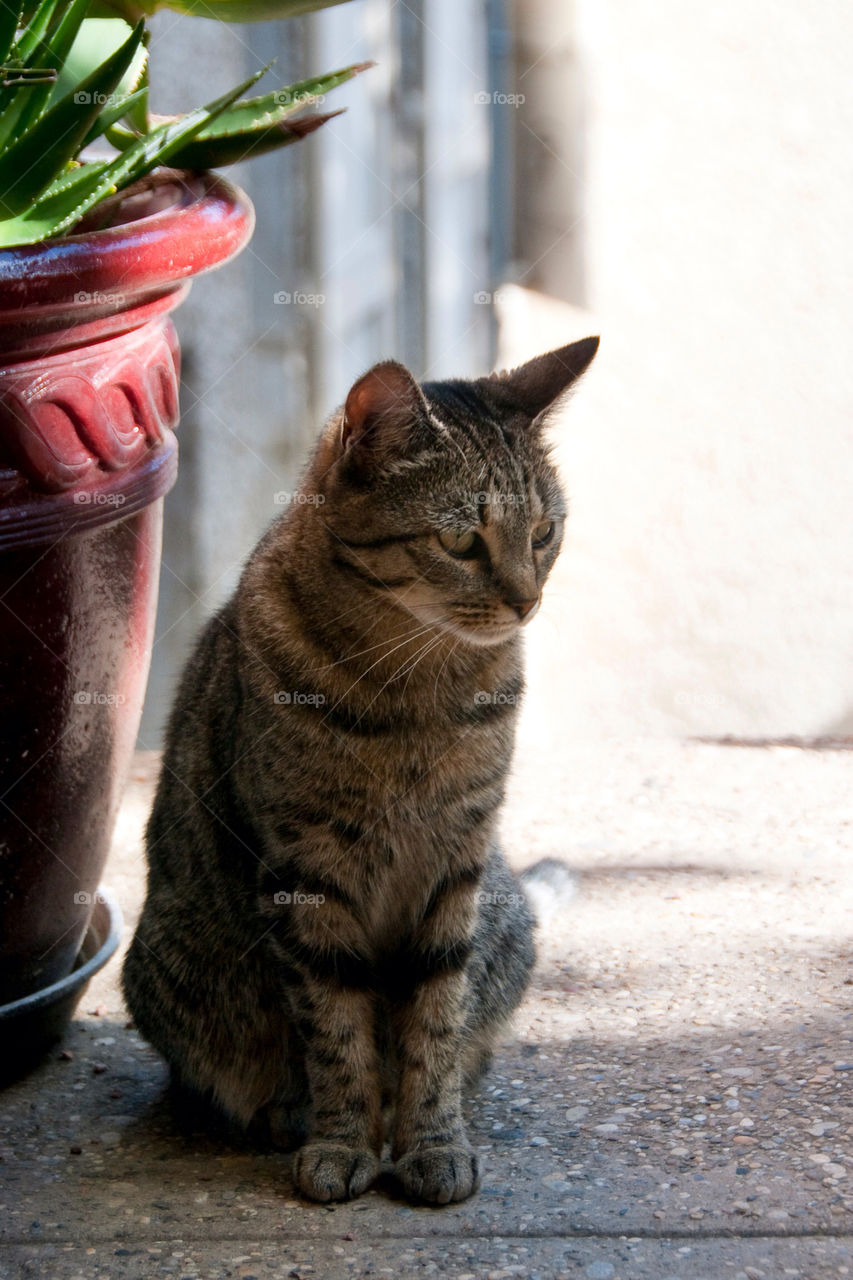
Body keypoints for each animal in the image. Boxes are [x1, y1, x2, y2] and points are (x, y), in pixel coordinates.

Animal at [121, 335, 596, 1203]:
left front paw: (433, 1140)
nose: (526, 602)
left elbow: (434, 1024)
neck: (418, 690)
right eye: (460, 542)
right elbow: (336, 1030)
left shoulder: (457, 863)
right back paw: (283, 1112)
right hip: (174, 963)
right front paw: (342, 1140)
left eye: (544, 532)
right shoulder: (306, 868)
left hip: (504, 920)